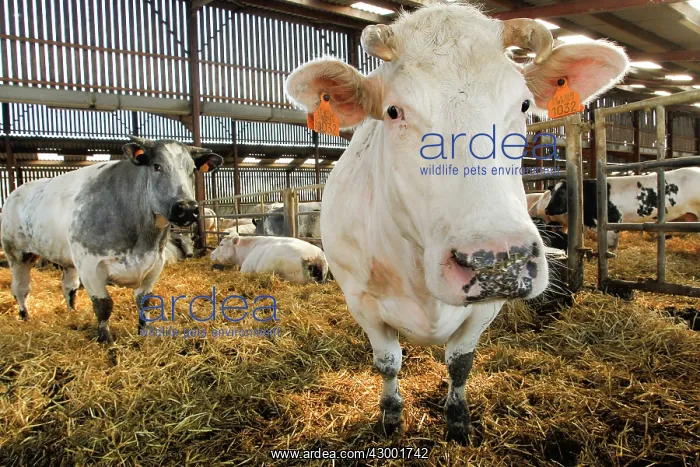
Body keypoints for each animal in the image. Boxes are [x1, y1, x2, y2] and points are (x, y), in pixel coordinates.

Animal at [1, 136, 222, 343]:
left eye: (192, 170)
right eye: (156, 166)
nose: (187, 208)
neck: (142, 239)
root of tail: (15, 192)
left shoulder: (155, 264)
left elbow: (144, 301)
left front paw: (144, 331)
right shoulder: (90, 266)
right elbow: (103, 305)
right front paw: (105, 338)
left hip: (66, 257)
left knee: (69, 287)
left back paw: (71, 312)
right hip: (17, 253)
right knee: (20, 288)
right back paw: (24, 316)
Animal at [285, 3, 628, 444]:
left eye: (523, 105)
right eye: (394, 111)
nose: (497, 263)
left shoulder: (487, 308)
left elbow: (460, 363)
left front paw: (458, 422)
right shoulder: (361, 301)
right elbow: (388, 362)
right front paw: (390, 418)